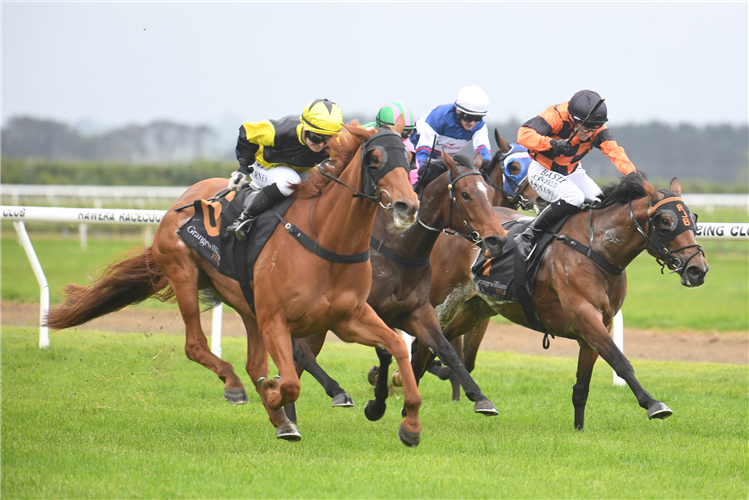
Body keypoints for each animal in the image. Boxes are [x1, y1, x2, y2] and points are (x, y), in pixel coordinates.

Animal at [46, 120, 426, 446]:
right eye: (375, 159)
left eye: (408, 158)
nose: (407, 206)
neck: (326, 239)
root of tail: (182, 200)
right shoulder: (276, 320)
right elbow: (289, 383)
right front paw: (274, 394)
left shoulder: (348, 319)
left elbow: (396, 345)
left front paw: (409, 423)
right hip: (184, 274)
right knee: (195, 345)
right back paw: (235, 386)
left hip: (247, 305)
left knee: (252, 363)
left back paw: (280, 420)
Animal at [286, 151, 508, 422]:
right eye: (465, 194)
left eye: (489, 190)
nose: (498, 240)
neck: (401, 249)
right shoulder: (370, 313)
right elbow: (388, 351)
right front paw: (376, 404)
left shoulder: (419, 312)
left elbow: (445, 349)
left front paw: (480, 397)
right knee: (299, 353)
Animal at [420, 173, 708, 430]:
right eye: (665, 220)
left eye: (693, 218)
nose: (698, 270)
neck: (596, 250)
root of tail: (448, 227)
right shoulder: (585, 316)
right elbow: (620, 361)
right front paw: (654, 404)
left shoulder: (597, 326)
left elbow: (582, 386)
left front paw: (579, 428)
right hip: (440, 300)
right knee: (426, 341)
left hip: (476, 307)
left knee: (444, 340)